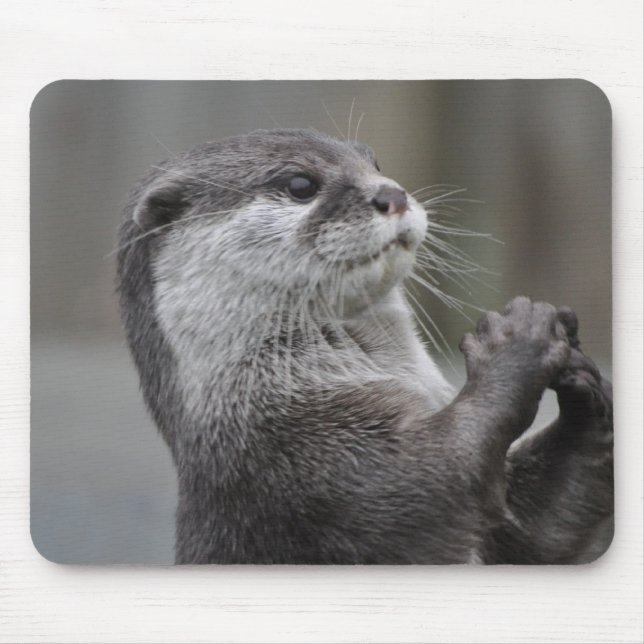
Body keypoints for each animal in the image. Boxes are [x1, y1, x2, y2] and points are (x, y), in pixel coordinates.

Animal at [117, 128, 613, 564]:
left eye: (375, 165)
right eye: (300, 184)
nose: (393, 194)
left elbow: (543, 531)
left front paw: (585, 389)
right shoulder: (311, 470)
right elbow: (439, 471)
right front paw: (517, 341)